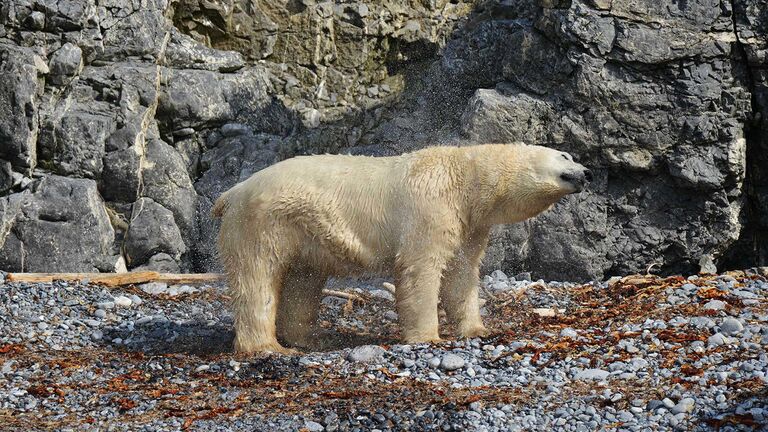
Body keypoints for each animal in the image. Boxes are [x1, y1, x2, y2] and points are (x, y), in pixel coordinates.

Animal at [213, 143, 592, 352]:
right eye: (564, 155)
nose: (586, 172)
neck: (463, 177)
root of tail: (233, 191)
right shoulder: (430, 208)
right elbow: (420, 269)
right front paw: (428, 336)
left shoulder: (469, 225)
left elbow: (461, 275)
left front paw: (477, 328)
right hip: (264, 222)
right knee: (257, 278)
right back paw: (268, 348)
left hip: (305, 233)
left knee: (303, 282)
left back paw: (309, 339)